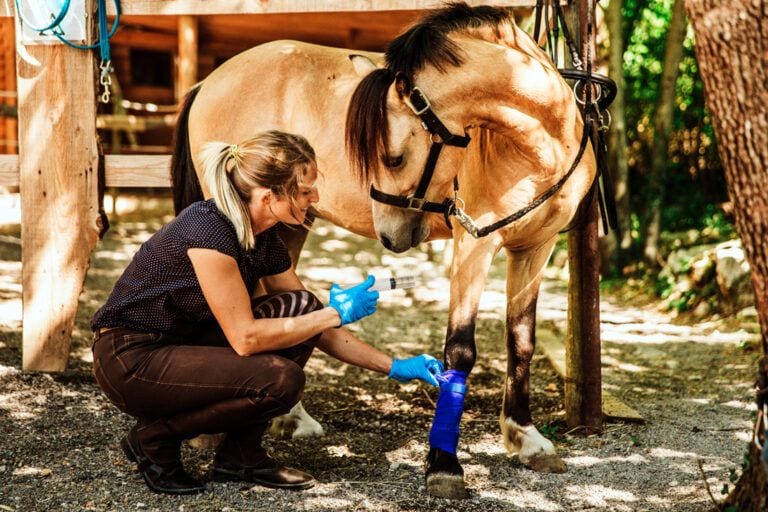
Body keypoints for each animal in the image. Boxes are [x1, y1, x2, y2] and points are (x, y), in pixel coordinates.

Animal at [171, 2, 596, 499]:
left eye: (392, 157)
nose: (390, 236)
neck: (538, 146)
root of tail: (210, 80)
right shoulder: (475, 244)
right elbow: (460, 351)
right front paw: (444, 464)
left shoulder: (535, 247)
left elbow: (522, 341)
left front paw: (526, 438)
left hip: (286, 227)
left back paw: (291, 418)